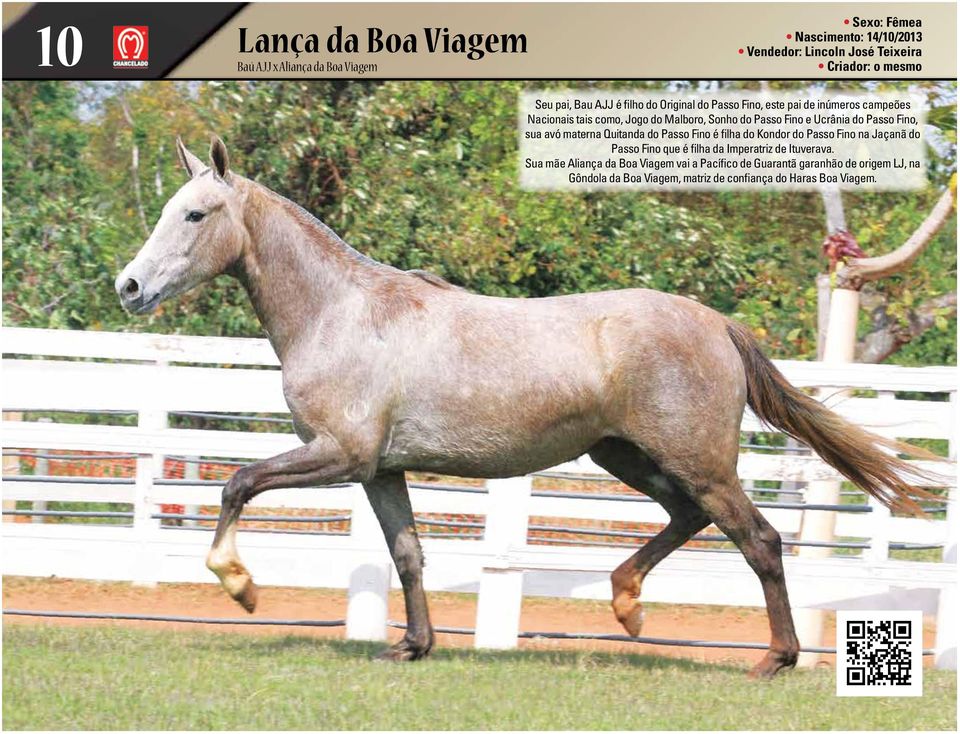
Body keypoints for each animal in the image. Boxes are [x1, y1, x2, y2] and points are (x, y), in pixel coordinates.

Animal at [116, 137, 940, 680]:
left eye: (195, 215)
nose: (128, 287)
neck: (343, 312)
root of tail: (715, 323)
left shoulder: (339, 454)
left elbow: (237, 484)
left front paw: (240, 585)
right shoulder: (379, 469)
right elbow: (408, 554)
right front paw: (411, 646)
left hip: (696, 460)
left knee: (759, 540)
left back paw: (775, 657)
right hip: (629, 455)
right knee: (689, 521)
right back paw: (627, 604)